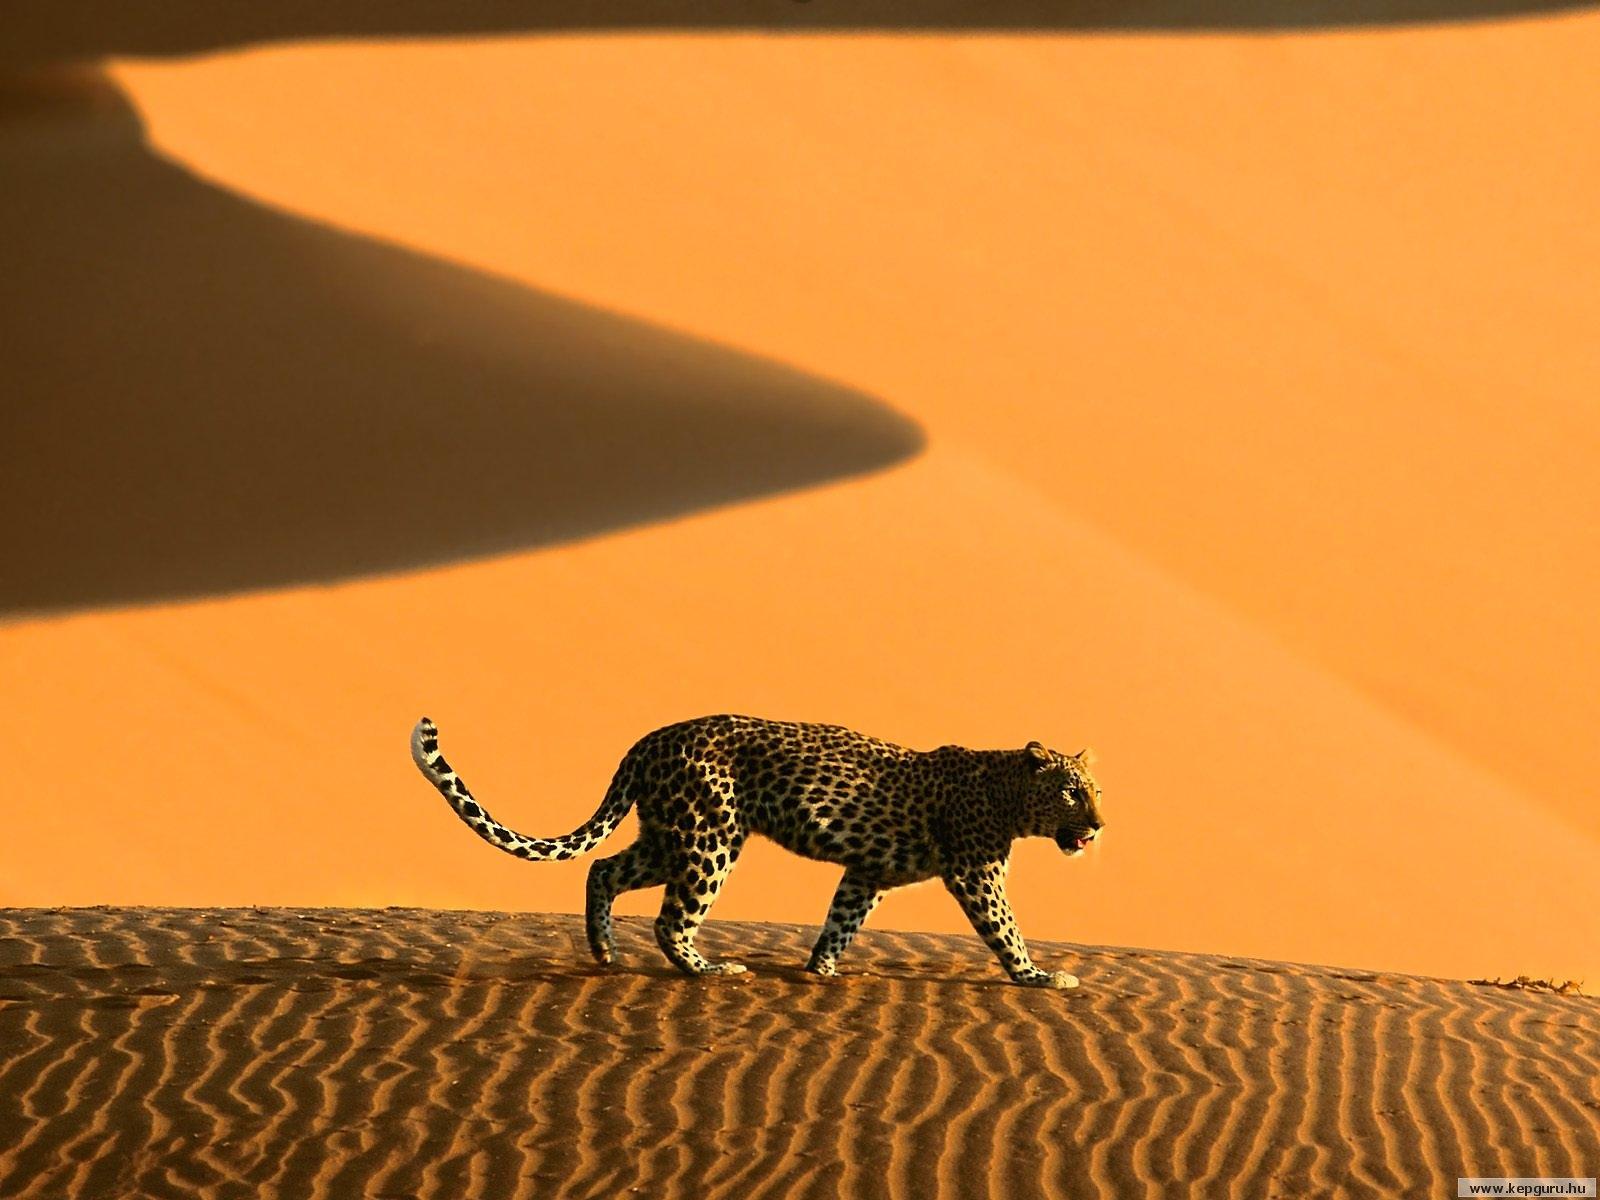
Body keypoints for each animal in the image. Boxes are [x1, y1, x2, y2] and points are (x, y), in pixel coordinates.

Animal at [410, 713, 1105, 987]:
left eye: (1096, 790)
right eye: (1072, 791)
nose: (1099, 826)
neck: (1010, 795)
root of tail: (647, 740)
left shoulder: (869, 870)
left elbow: (842, 919)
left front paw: (821, 971)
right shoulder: (974, 873)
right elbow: (1005, 929)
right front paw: (1039, 977)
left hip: (668, 836)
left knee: (604, 870)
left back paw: (605, 953)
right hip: (710, 839)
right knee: (670, 918)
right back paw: (710, 969)